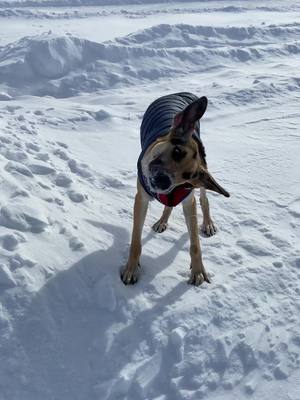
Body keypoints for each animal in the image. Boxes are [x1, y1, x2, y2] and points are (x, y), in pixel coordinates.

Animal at [120, 93, 229, 288]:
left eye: (188, 177)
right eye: (177, 151)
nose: (164, 181)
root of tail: (177, 93)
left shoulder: (188, 201)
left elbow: (195, 244)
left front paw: (198, 270)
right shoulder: (141, 199)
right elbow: (136, 241)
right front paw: (131, 269)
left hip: (204, 167)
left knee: (204, 199)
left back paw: (207, 223)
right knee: (171, 205)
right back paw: (162, 221)